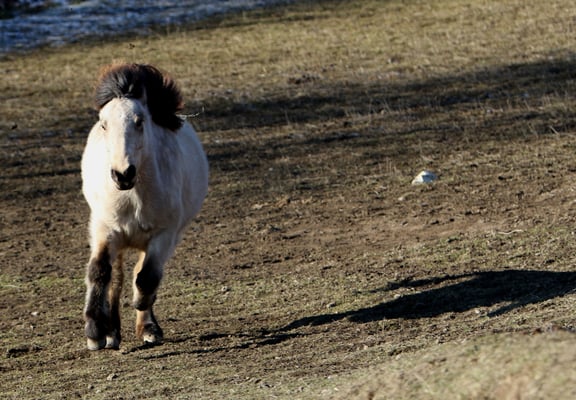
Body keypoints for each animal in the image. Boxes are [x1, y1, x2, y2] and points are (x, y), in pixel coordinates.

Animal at [81, 63, 209, 350]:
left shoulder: (164, 233)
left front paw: (143, 312)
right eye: (103, 124)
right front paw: (95, 332)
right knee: (116, 278)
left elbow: (146, 276)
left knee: (141, 273)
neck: (133, 195)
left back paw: (146, 326)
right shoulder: (105, 229)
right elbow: (100, 272)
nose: (122, 174)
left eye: (140, 121)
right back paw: (111, 333)